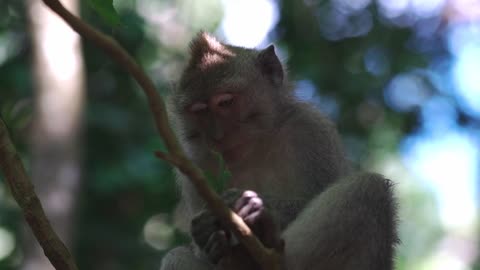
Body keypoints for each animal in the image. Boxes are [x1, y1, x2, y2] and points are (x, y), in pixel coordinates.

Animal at [161, 33, 398, 270]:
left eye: (225, 102)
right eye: (199, 110)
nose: (217, 135)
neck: (255, 146)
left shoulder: (309, 129)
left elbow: (311, 196)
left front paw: (255, 208)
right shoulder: (194, 163)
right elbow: (203, 253)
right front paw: (205, 232)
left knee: (368, 187)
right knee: (176, 256)